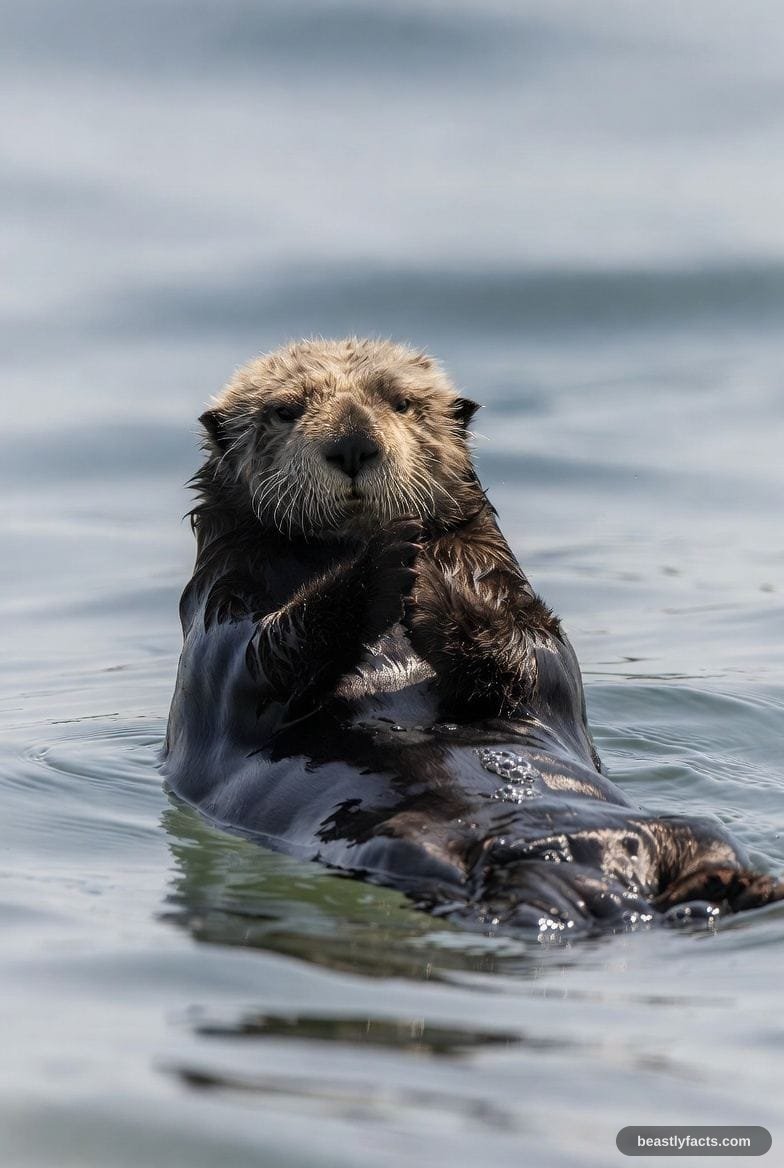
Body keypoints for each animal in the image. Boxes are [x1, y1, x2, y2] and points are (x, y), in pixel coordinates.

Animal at [163, 337, 783, 935]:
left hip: (688, 830)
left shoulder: (517, 602)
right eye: (286, 410)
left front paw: (433, 586)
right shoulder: (221, 616)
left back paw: (733, 887)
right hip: (417, 848)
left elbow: (536, 661)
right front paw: (387, 563)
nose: (353, 444)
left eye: (401, 403)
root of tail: (602, 883)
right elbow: (258, 666)